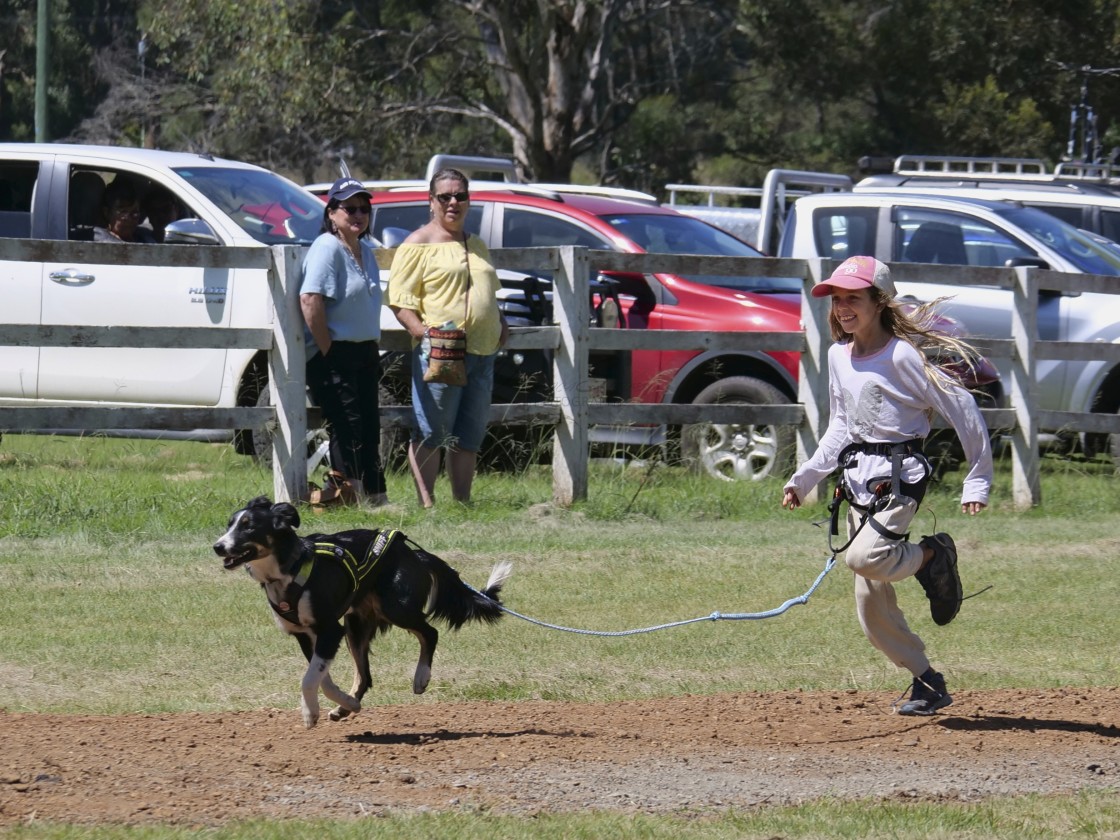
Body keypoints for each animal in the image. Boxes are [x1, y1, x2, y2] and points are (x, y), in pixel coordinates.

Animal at [211, 497, 510, 725]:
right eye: (229, 525)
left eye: (249, 527)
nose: (217, 546)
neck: (289, 571)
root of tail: (411, 552)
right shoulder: (306, 634)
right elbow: (320, 677)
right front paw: (339, 703)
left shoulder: (330, 629)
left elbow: (309, 678)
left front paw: (309, 713)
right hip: (355, 625)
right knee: (365, 676)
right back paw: (347, 706)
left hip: (395, 608)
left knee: (430, 632)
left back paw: (421, 677)